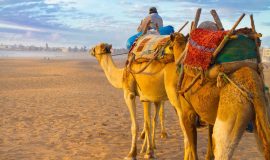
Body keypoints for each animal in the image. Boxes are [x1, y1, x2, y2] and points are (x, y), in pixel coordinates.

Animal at [170, 31, 270, 159]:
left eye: (170, 45)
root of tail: (253, 84)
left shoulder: (188, 113)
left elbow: (193, 147)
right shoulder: (210, 117)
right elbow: (209, 149)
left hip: (230, 114)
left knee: (222, 148)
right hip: (262, 111)